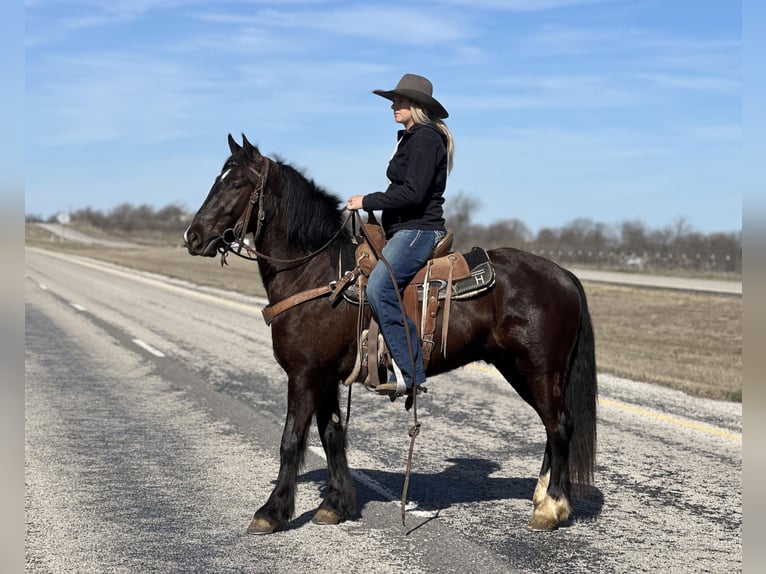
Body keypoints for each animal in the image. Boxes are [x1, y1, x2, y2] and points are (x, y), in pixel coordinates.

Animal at [186, 134, 600, 536]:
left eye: (236, 183)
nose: (193, 236)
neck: (317, 274)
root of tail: (564, 275)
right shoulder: (325, 378)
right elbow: (332, 435)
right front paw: (335, 504)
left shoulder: (304, 375)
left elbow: (291, 440)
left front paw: (271, 512)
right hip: (519, 369)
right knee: (551, 426)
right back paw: (543, 496)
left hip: (539, 369)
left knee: (559, 426)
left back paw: (551, 507)